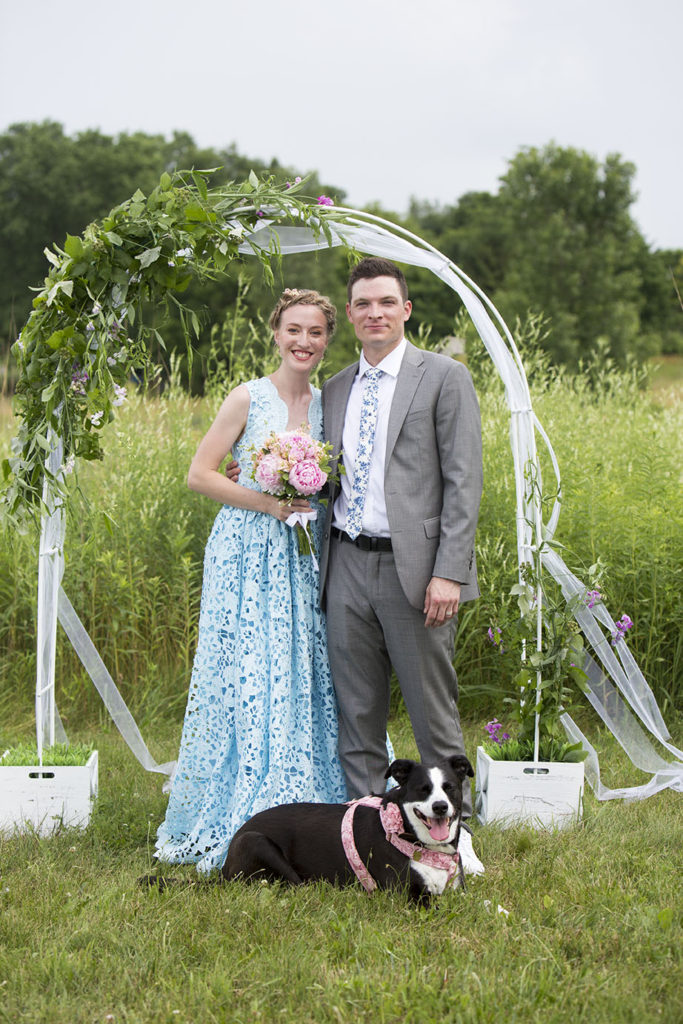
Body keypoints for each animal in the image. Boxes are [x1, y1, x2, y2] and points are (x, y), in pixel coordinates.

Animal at [224, 753, 475, 905]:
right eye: (422, 789)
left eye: (449, 788)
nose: (440, 807)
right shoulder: (408, 895)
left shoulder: (459, 891)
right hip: (255, 841)